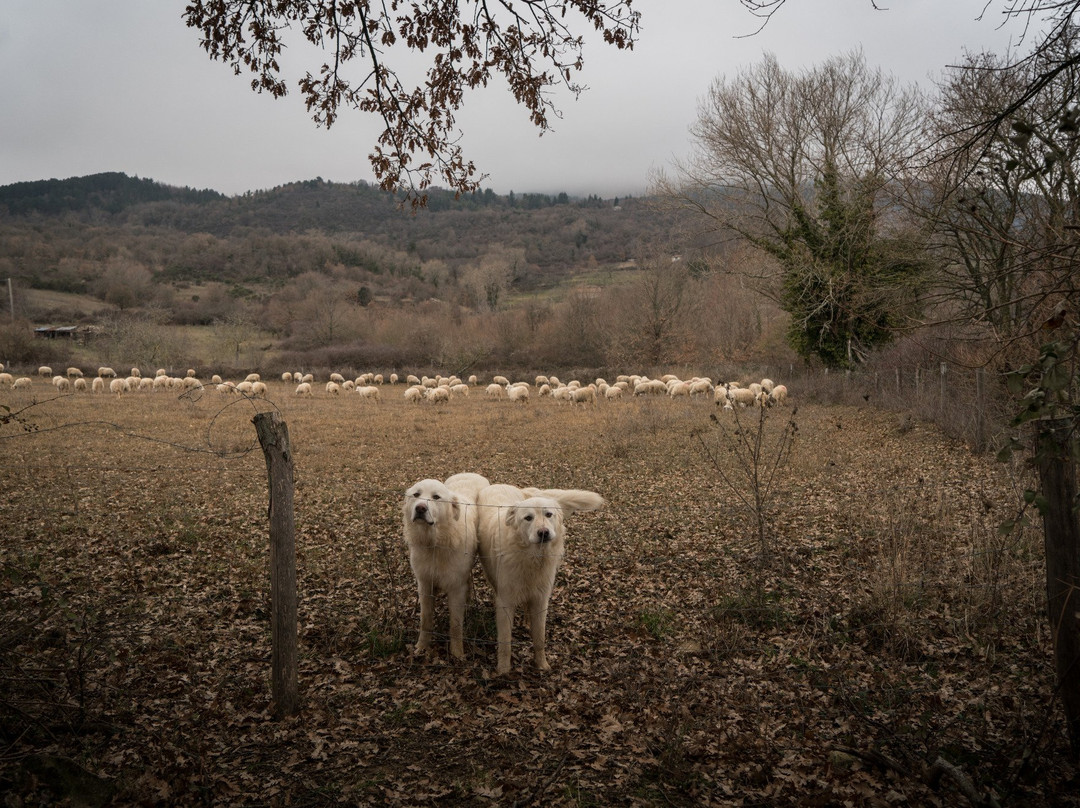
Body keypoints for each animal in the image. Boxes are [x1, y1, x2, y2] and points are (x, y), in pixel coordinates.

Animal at [401, 473, 490, 656]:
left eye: (436, 497)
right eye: (416, 495)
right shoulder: (425, 584)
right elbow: (426, 620)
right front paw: (422, 646)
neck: (435, 544)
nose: (420, 508)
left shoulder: (456, 587)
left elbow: (455, 625)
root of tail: (469, 472)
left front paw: (457, 653)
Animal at [481, 486, 609, 674]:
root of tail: (500, 484)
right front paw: (503, 671)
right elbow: (505, 642)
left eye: (549, 514)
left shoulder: (541, 600)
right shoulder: (505, 602)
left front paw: (542, 665)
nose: (543, 533)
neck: (534, 558)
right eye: (528, 518)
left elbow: (540, 639)